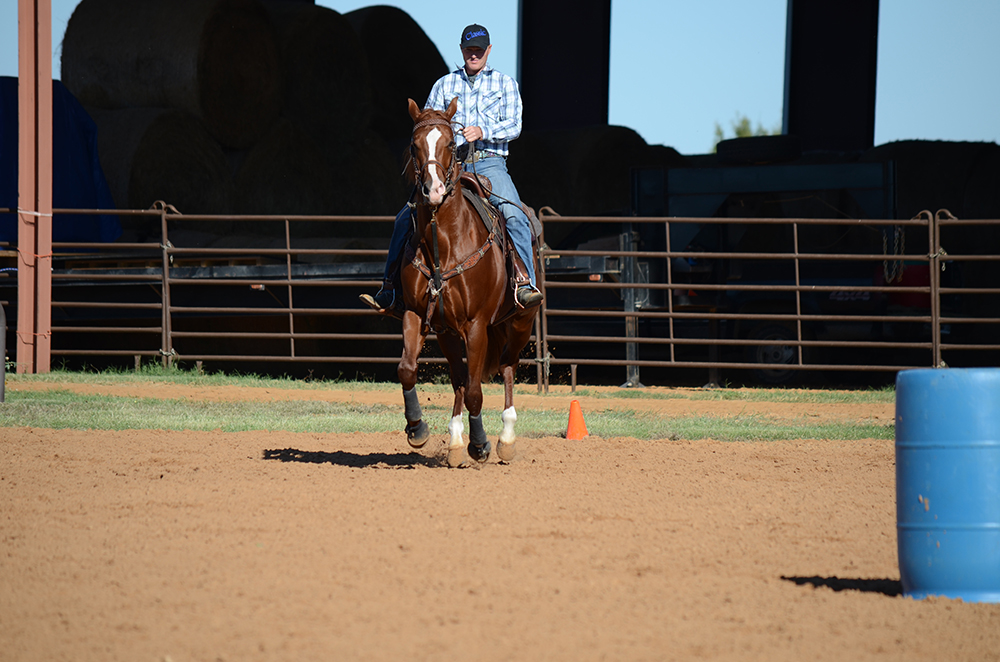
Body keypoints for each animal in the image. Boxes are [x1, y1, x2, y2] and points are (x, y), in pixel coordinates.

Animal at [397, 97, 538, 468]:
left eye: (449, 143)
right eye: (414, 145)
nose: (433, 190)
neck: (443, 244)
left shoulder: (476, 324)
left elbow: (476, 390)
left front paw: (481, 445)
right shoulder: (417, 315)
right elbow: (408, 369)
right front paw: (418, 429)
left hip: (520, 323)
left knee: (506, 367)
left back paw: (505, 439)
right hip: (449, 332)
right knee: (460, 380)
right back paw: (456, 441)